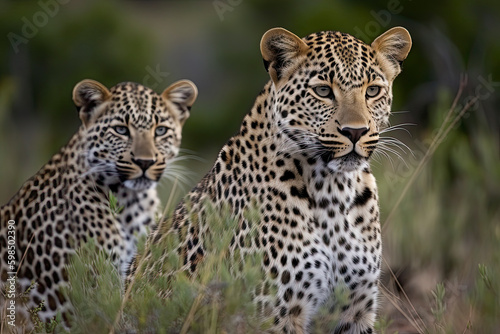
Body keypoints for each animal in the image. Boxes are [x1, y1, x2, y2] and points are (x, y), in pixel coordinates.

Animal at [128, 26, 410, 334]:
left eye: (373, 91)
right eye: (323, 91)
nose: (356, 131)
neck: (333, 190)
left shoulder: (355, 310)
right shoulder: (275, 311)